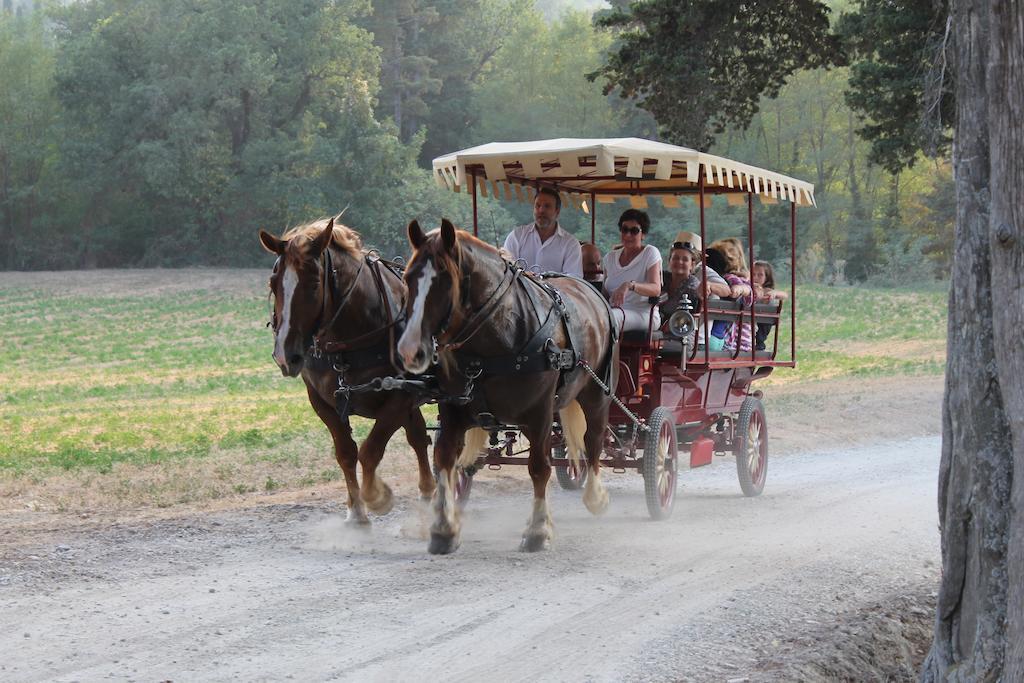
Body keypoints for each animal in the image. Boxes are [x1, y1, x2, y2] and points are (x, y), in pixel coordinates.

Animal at [258, 219, 434, 524]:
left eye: (314, 284)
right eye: (273, 282)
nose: (285, 355)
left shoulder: (400, 397)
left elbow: (370, 451)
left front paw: (376, 497)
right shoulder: (322, 402)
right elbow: (346, 453)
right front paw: (356, 510)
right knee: (419, 438)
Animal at [395, 219, 614, 557]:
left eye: (444, 281)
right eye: (407, 278)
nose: (409, 351)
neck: (498, 335)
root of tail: (591, 290)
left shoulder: (540, 413)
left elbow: (539, 467)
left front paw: (538, 531)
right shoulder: (453, 408)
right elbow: (445, 459)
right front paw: (444, 529)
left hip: (595, 392)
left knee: (593, 440)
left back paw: (595, 496)